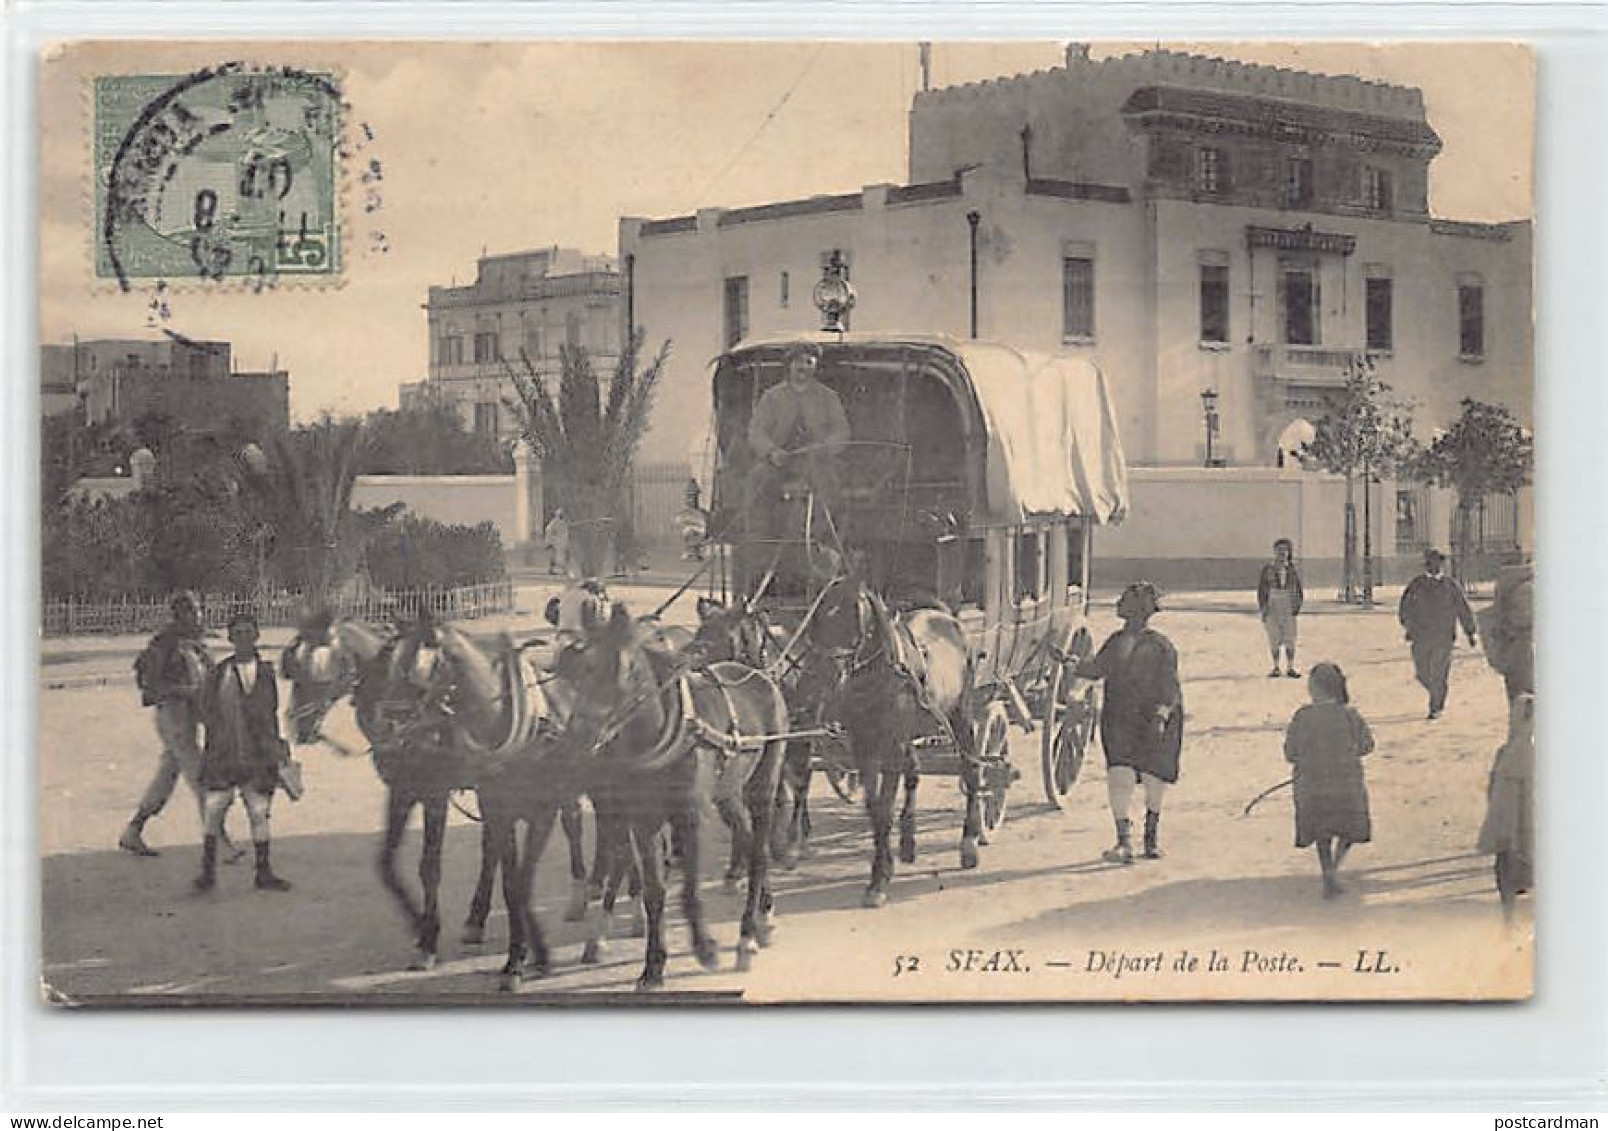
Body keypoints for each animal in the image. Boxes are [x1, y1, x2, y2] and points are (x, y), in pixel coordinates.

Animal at [556, 601, 794, 991]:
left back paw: (746, 937)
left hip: (763, 784)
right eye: (583, 667)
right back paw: (762, 916)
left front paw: (706, 948)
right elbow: (654, 891)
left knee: (759, 854)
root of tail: (759, 676)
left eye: (628, 669)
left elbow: (690, 890)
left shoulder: (689, 815)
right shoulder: (642, 820)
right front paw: (653, 966)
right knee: (744, 835)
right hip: (727, 792)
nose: (581, 735)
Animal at [804, 575, 977, 913]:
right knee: (914, 772)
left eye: (855, 613)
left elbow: (884, 809)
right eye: (819, 613)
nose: (827, 672)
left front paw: (878, 880)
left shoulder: (891, 747)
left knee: (971, 768)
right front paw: (884, 867)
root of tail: (945, 616)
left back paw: (970, 843)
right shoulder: (865, 747)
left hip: (960, 714)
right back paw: (908, 843)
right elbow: (875, 809)